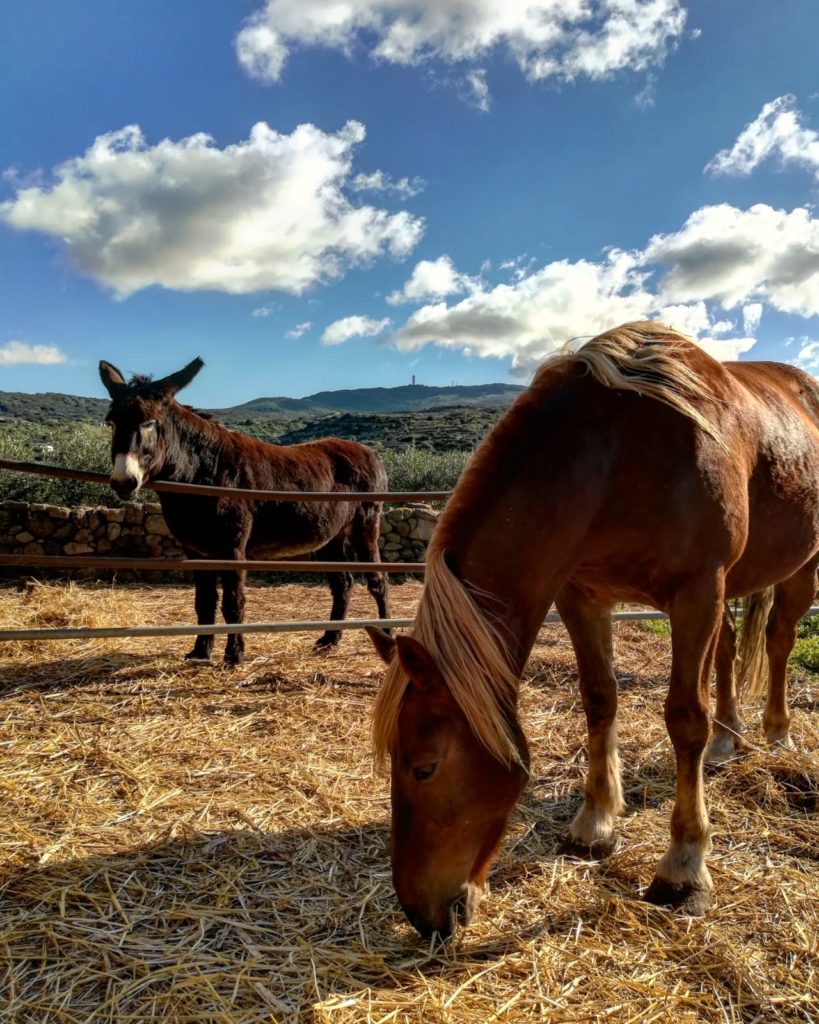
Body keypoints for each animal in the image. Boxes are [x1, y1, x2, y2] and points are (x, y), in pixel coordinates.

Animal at [97, 358, 389, 663]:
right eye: (111, 423)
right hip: (330, 537)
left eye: (150, 423)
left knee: (378, 579)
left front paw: (234, 655)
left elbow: (233, 601)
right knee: (343, 584)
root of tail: (370, 452)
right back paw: (330, 639)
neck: (201, 473)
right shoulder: (197, 550)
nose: (123, 482)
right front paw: (200, 651)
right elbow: (204, 601)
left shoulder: (232, 548)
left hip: (365, 524)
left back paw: (388, 635)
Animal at [368, 323, 818, 937]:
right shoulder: (582, 594)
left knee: (779, 640)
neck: (614, 459)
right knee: (728, 652)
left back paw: (777, 731)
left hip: (799, 570)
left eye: (424, 768)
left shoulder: (696, 592)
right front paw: (595, 823)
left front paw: (684, 866)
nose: (420, 914)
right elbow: (599, 699)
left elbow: (684, 719)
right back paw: (729, 738)